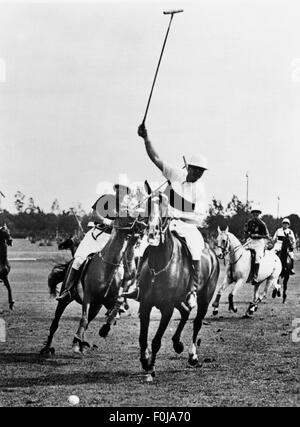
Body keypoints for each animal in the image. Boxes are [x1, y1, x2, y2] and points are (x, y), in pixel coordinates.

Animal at [40, 216, 145, 356]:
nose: (143, 226)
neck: (108, 267)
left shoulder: (109, 300)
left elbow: (114, 310)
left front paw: (104, 329)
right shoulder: (88, 297)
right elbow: (84, 319)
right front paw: (78, 339)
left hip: (96, 306)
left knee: (88, 321)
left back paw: (81, 343)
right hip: (66, 300)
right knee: (55, 323)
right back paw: (48, 348)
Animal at [137, 195, 219, 382]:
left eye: (165, 206)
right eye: (147, 205)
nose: (152, 232)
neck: (159, 263)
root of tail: (212, 253)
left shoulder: (167, 308)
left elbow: (156, 341)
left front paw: (151, 368)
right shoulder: (145, 305)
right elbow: (142, 338)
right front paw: (145, 361)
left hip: (205, 296)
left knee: (197, 322)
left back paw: (192, 355)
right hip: (179, 299)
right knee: (185, 312)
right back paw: (177, 344)